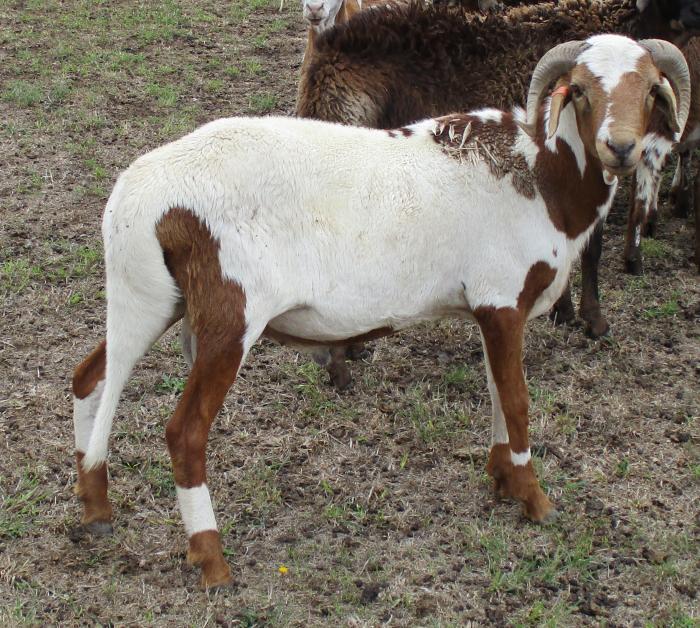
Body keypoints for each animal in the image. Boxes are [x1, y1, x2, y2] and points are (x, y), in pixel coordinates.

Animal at [71, 35, 689, 588]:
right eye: (580, 90)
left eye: (650, 89)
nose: (621, 148)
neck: (540, 178)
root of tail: (140, 194)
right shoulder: (502, 298)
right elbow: (515, 401)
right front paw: (534, 500)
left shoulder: (489, 309)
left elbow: (495, 389)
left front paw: (501, 480)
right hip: (230, 312)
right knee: (185, 432)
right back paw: (211, 561)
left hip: (150, 294)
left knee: (92, 377)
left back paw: (95, 508)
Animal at [297, 0, 700, 337]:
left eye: (649, 90)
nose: (622, 148)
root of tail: (328, 50)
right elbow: (590, 248)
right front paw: (592, 321)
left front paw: (566, 311)